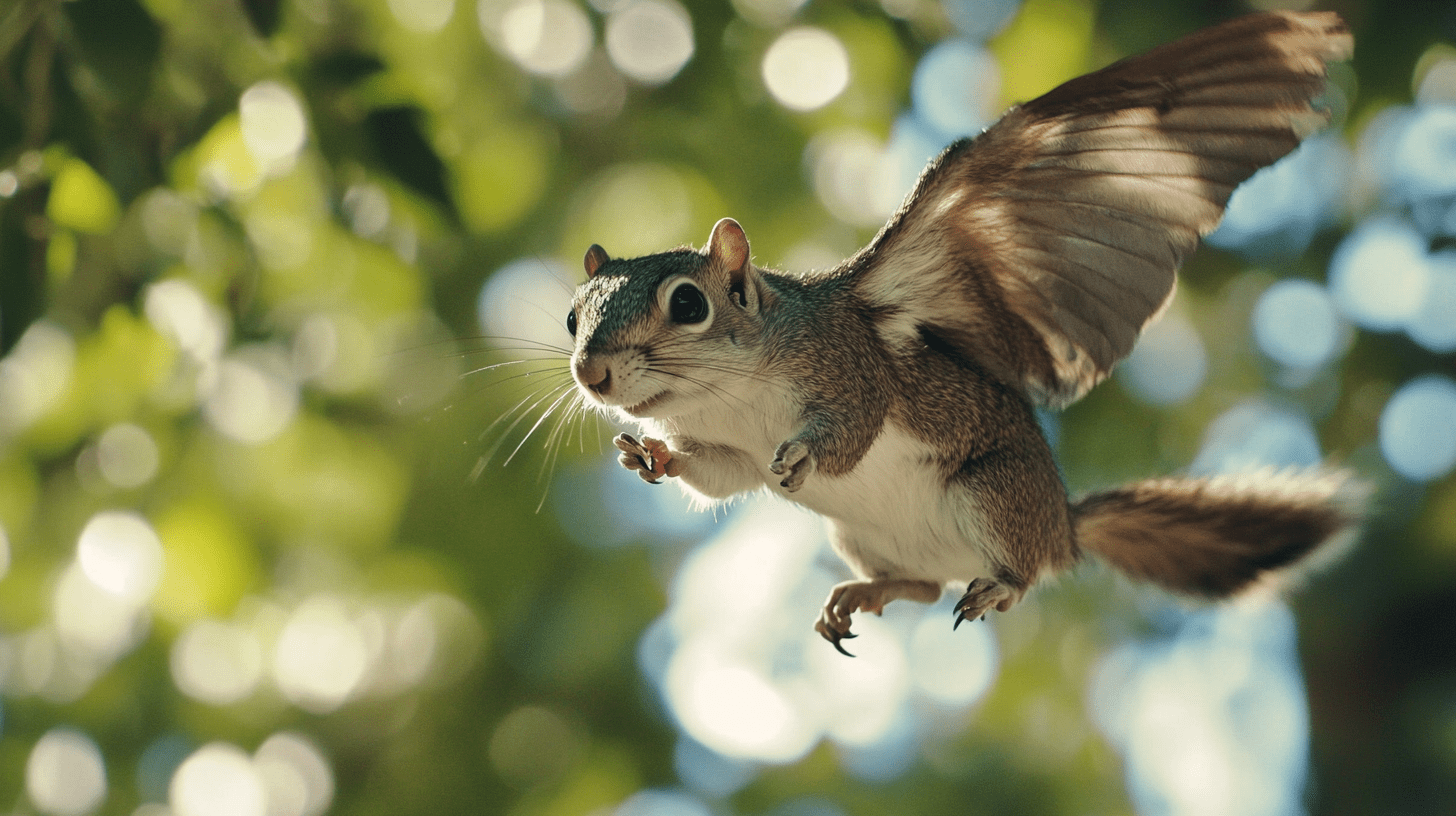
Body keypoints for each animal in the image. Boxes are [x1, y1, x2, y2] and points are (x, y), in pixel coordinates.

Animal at [559, 9, 1362, 652]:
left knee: (1021, 575)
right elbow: (719, 475)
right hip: (863, 538)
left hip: (994, 494)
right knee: (921, 588)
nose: (591, 373)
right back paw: (862, 596)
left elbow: (853, 424)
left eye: (689, 305)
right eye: (572, 316)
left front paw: (806, 456)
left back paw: (1000, 583)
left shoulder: (850, 366)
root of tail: (1062, 525)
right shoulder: (733, 451)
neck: (731, 397)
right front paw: (653, 456)